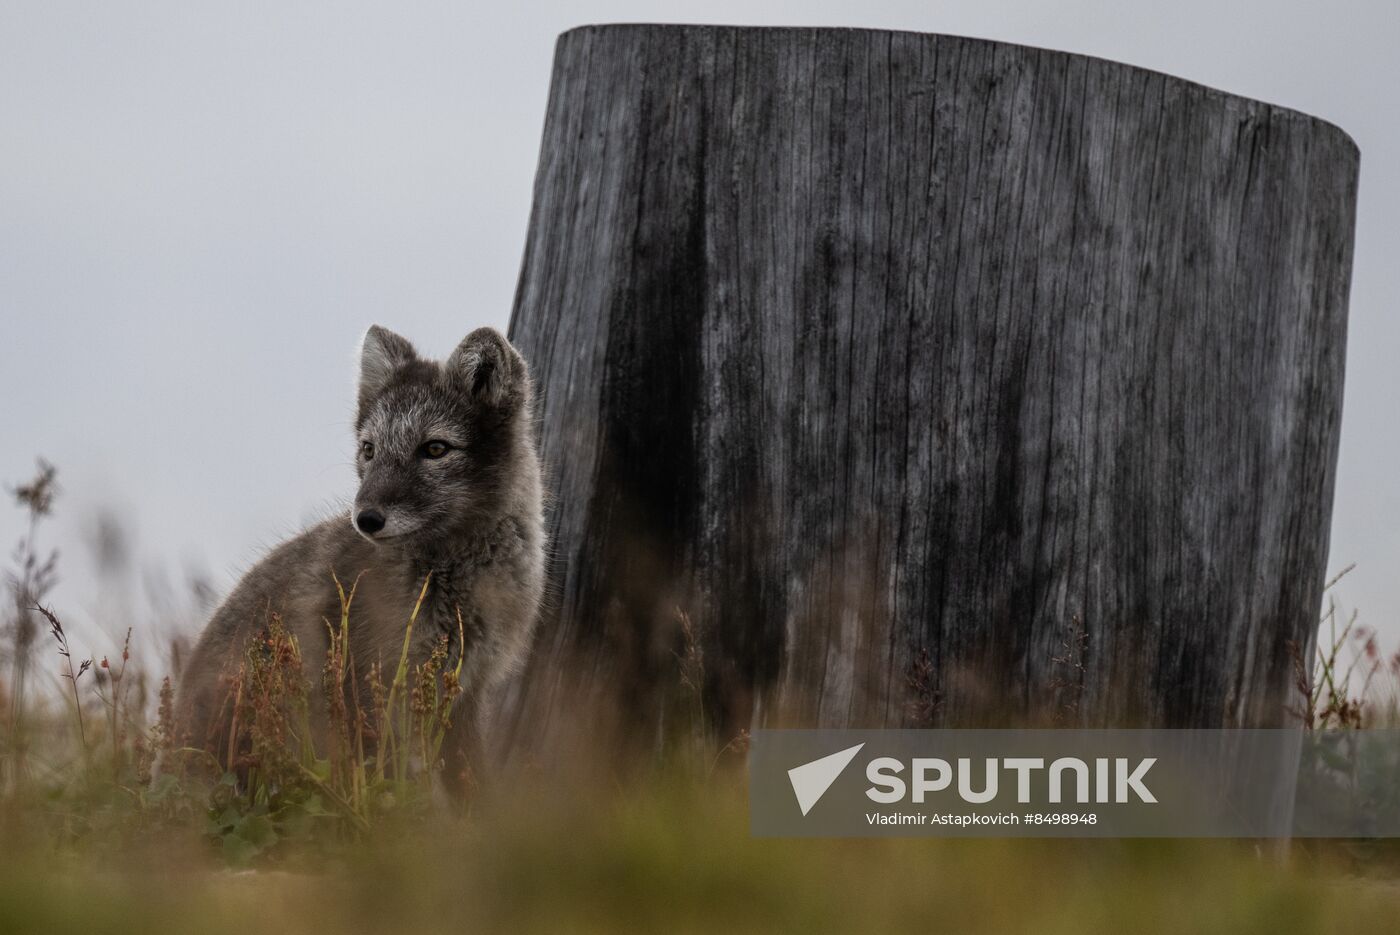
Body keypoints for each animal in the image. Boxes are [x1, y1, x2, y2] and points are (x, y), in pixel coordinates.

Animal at [173, 324, 540, 783]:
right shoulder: (369, 691)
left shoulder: (466, 694)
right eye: (369, 450)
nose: (366, 519)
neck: (451, 580)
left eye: (435, 449)